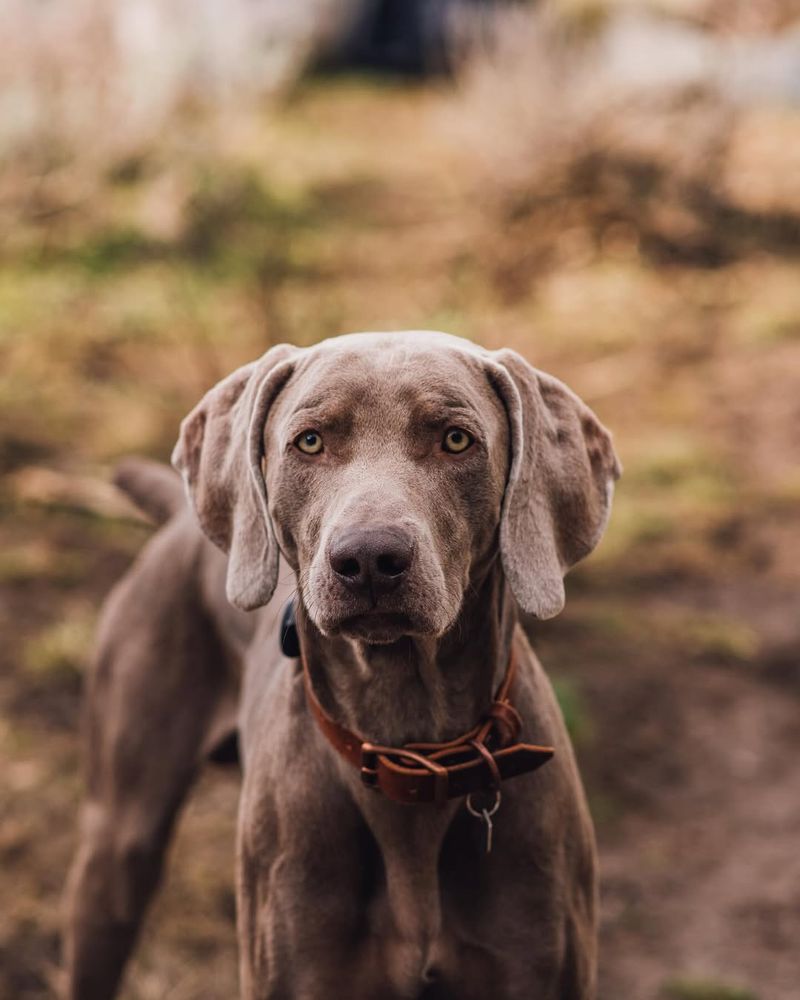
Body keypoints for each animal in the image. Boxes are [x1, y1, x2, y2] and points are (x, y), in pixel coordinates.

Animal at [65, 334, 620, 1000]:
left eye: (456, 439)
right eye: (309, 441)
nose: (370, 559)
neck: (407, 744)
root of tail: (178, 516)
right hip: (117, 846)